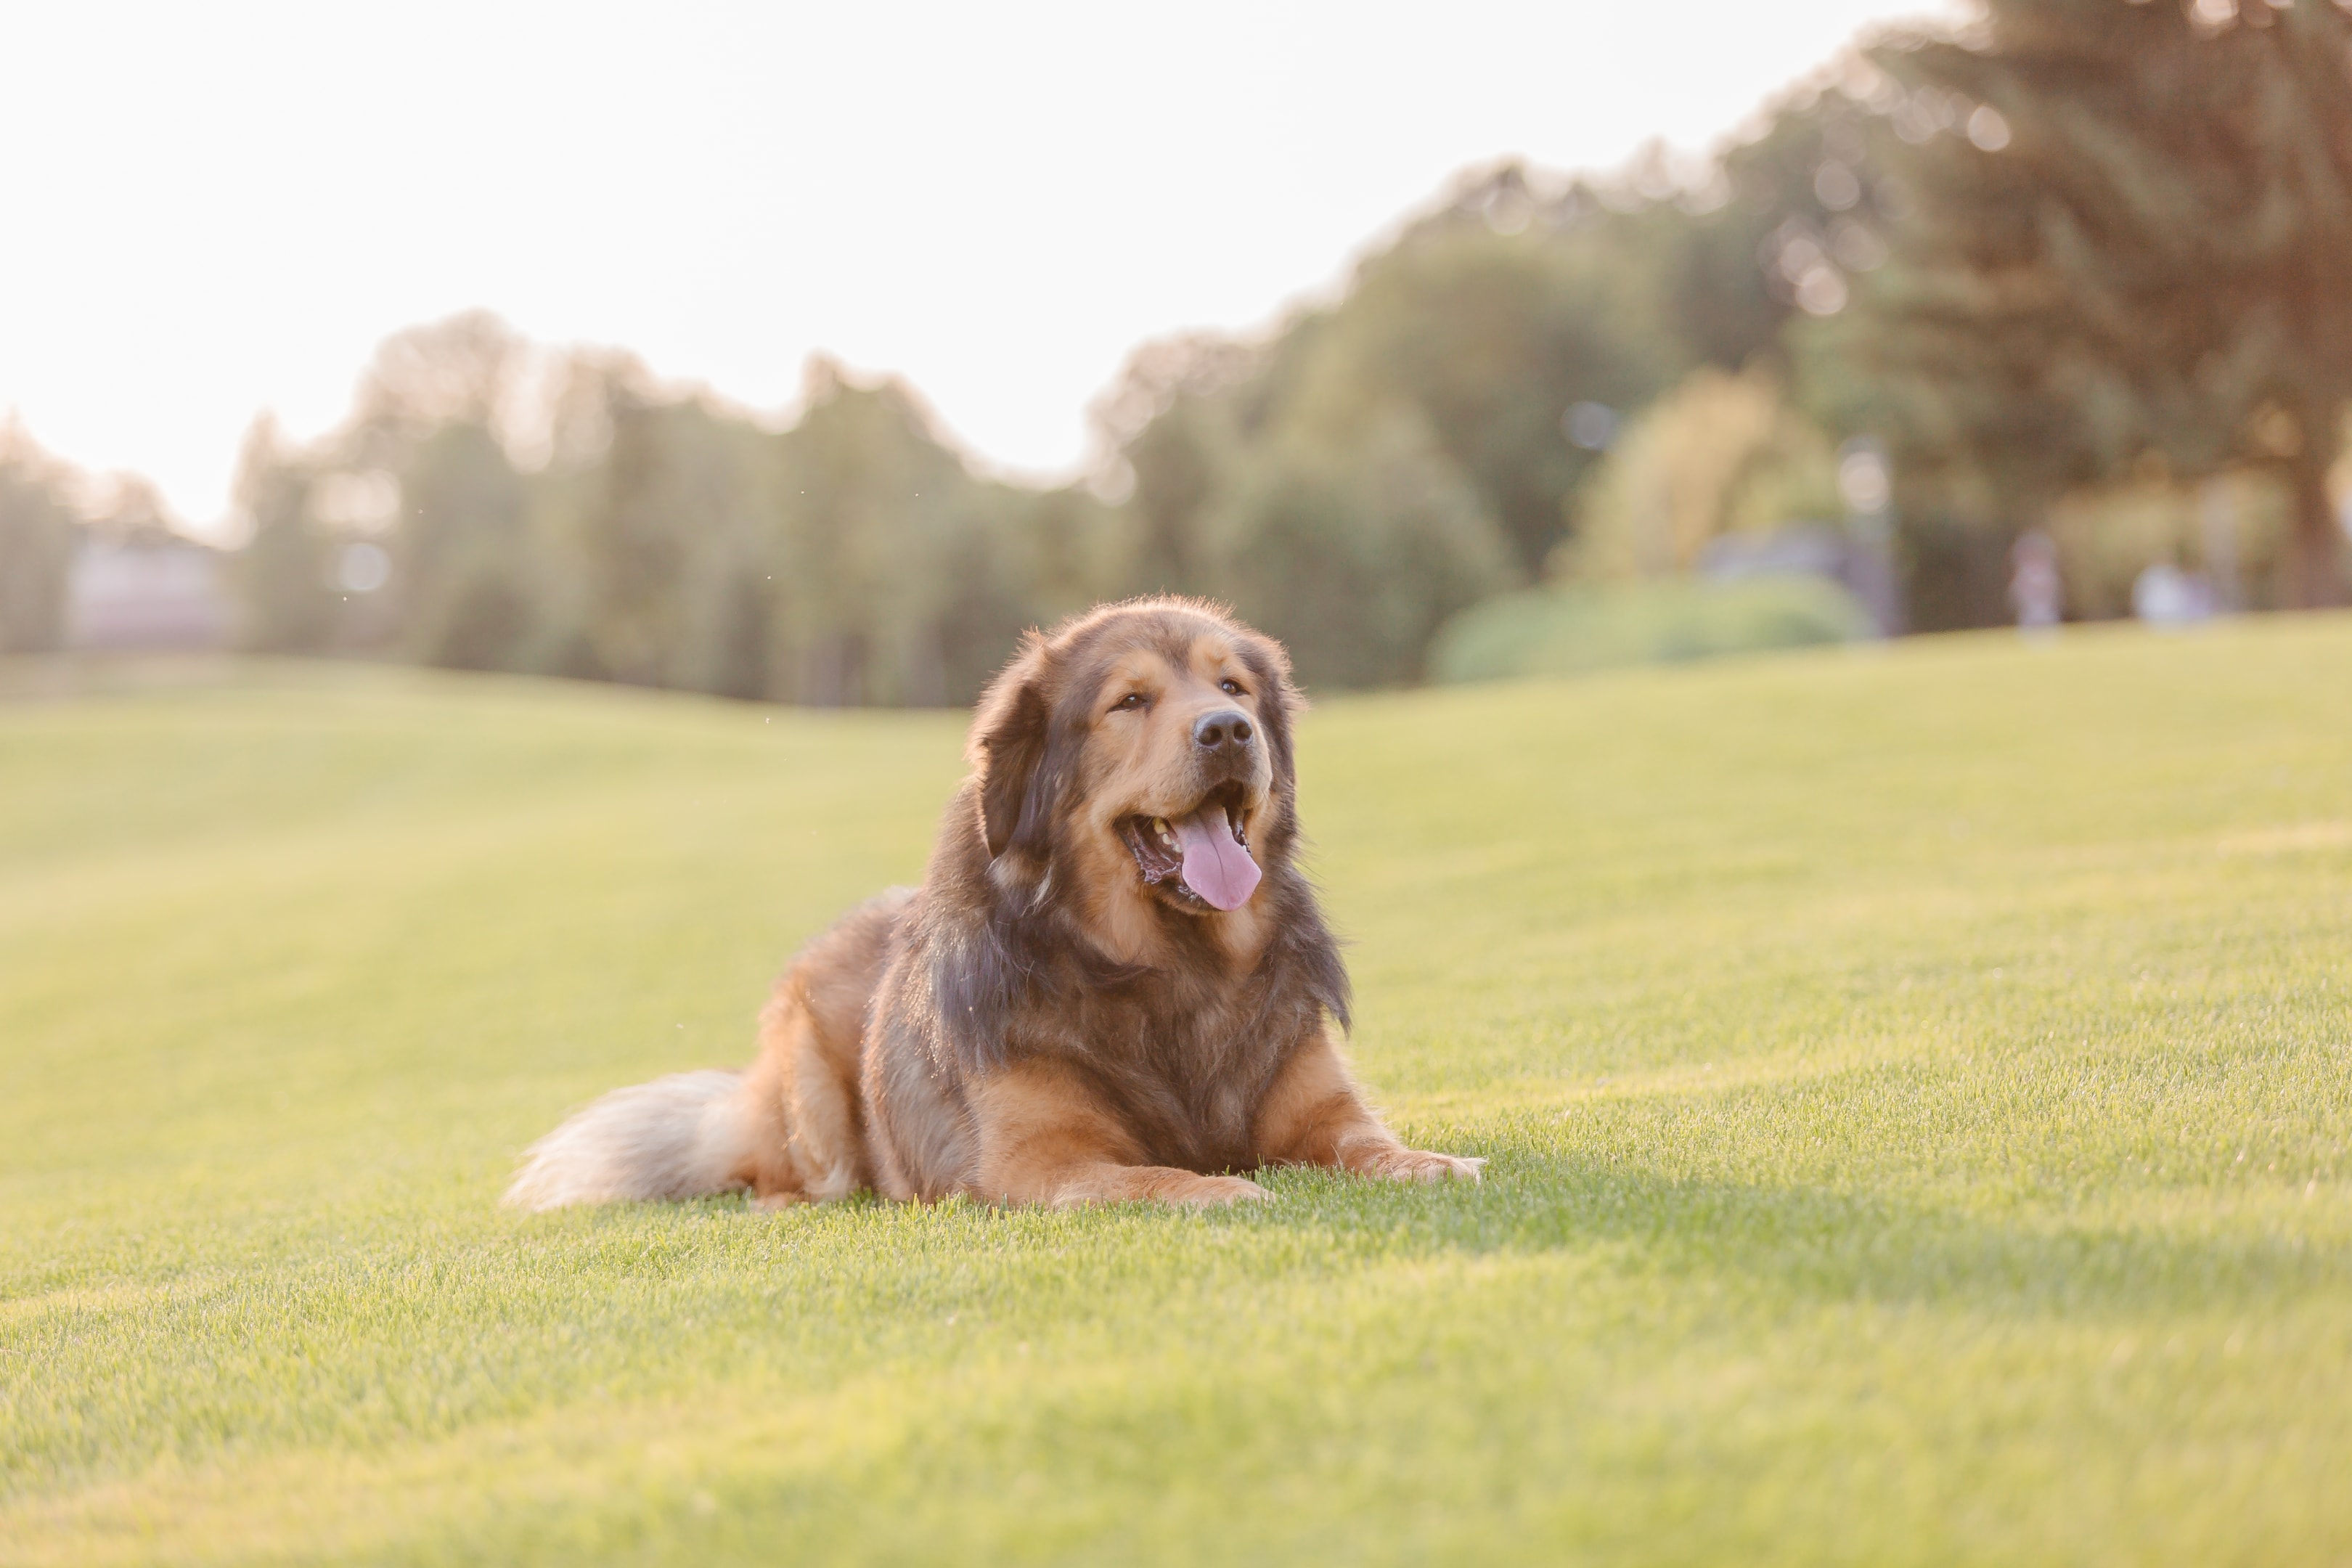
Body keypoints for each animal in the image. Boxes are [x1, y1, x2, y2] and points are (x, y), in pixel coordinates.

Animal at [505, 595, 1477, 1213]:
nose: (1228, 731)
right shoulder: (1042, 1158)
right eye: (1130, 701)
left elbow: (1370, 1144)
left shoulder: (1321, 1110)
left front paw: (1432, 1162)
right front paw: (1221, 1188)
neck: (1173, 967)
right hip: (810, 1097)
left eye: (1233, 687)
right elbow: (1149, 1178)